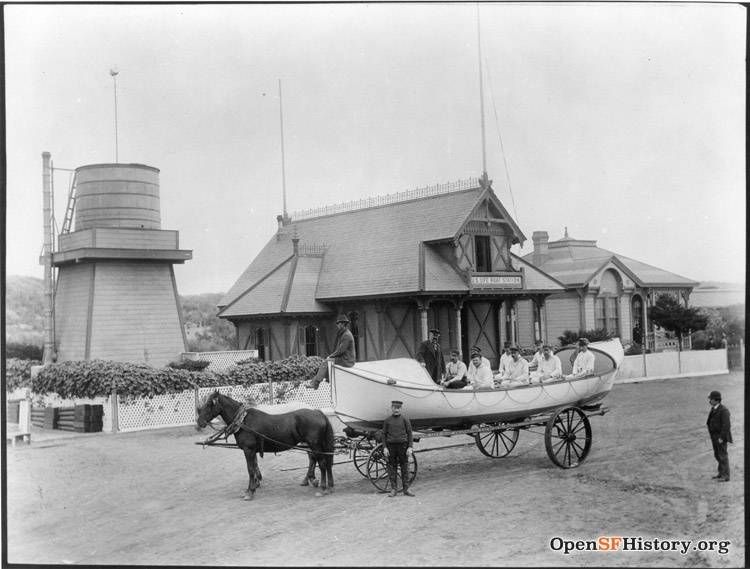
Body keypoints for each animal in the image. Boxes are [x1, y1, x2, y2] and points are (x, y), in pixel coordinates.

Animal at [197, 390, 334, 496]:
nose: (199, 422)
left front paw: (251, 491)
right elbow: (254, 466)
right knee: (320, 461)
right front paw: (253, 485)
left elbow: (250, 469)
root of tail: (317, 412)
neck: (243, 421)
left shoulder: (248, 449)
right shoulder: (252, 450)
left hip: (314, 444)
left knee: (321, 463)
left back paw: (322, 487)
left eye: (209, 404)